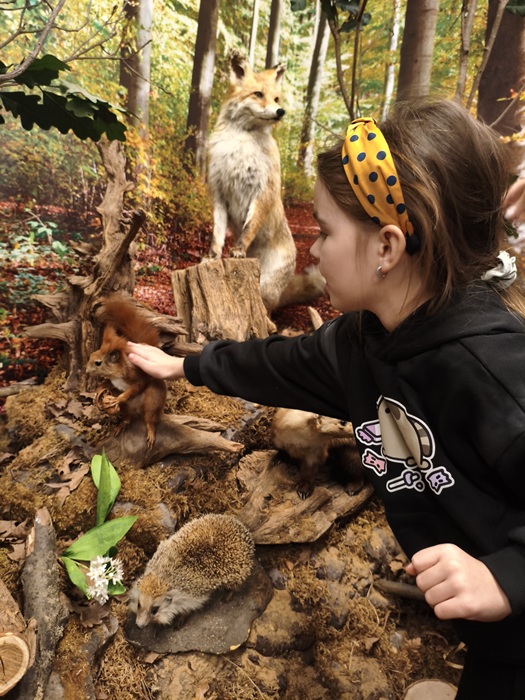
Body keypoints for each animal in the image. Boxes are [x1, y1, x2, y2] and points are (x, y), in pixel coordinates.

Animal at [205, 49, 325, 312]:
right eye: (258, 94)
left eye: (277, 98)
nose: (280, 112)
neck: (241, 145)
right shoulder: (218, 191)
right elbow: (217, 233)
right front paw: (213, 255)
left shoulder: (263, 190)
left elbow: (249, 227)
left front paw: (238, 251)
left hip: (266, 288)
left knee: (267, 311)